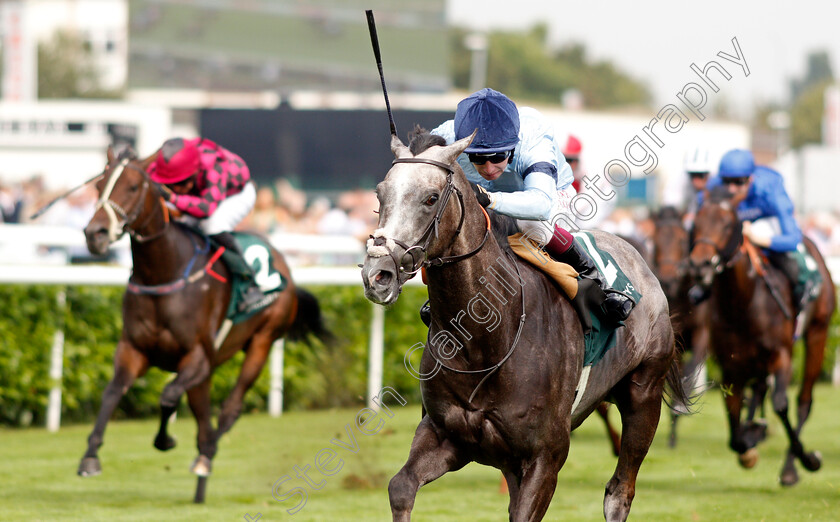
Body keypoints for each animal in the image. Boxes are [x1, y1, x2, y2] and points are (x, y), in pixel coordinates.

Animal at [79, 146, 328, 500]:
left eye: (132, 187)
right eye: (99, 186)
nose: (94, 234)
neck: (163, 271)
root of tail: (284, 263)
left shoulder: (197, 356)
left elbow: (169, 395)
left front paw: (166, 439)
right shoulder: (133, 350)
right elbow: (113, 392)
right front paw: (90, 456)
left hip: (262, 342)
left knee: (229, 410)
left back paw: (206, 457)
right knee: (203, 415)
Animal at [360, 131, 688, 520]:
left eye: (431, 198)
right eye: (380, 194)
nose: (377, 274)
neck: (485, 340)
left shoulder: (544, 459)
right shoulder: (448, 437)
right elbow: (400, 486)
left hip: (644, 394)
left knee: (619, 492)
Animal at [648, 205, 708, 444]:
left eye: (682, 240)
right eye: (654, 241)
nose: (668, 279)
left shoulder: (702, 333)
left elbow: (690, 370)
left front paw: (681, 405)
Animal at [688, 185, 832, 482]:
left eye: (728, 223)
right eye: (696, 222)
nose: (699, 265)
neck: (743, 303)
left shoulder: (782, 355)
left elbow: (780, 404)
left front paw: (808, 458)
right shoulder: (730, 367)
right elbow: (735, 431)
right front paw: (750, 441)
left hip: (817, 332)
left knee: (804, 400)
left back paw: (790, 466)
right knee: (760, 387)